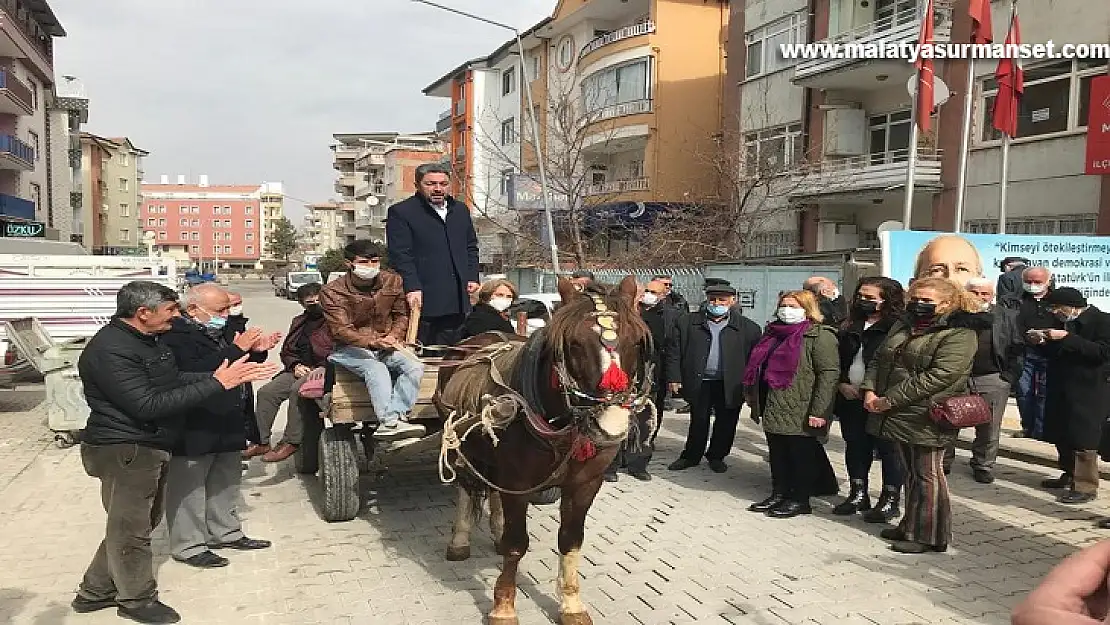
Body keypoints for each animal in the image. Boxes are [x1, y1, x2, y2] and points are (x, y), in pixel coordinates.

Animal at [437, 278, 652, 625]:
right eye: (574, 344)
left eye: (634, 342)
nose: (611, 423)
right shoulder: (518, 483)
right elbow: (516, 545)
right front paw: (504, 606)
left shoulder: (585, 485)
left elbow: (571, 541)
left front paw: (572, 605)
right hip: (461, 448)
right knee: (467, 489)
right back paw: (460, 540)